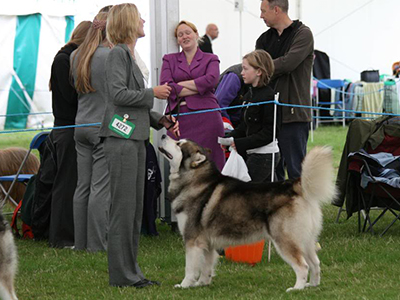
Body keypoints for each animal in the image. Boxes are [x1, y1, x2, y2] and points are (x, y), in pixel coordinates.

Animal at [159, 135, 338, 290]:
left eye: (178, 144)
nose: (162, 136)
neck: (194, 179)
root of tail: (293, 185)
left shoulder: (192, 240)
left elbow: (190, 268)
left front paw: (184, 285)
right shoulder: (207, 243)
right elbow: (206, 267)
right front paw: (202, 284)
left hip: (285, 239)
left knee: (303, 266)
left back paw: (297, 288)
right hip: (306, 240)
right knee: (315, 263)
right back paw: (312, 285)